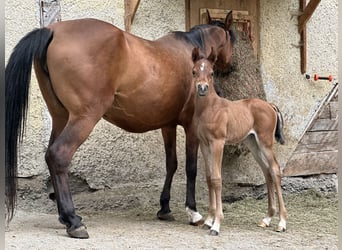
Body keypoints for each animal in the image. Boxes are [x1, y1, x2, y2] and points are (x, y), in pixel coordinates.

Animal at [5, 13, 235, 238]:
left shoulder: (167, 125)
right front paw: (193, 212)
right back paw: (74, 221)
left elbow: (171, 164)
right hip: (84, 118)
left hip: (61, 117)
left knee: (50, 156)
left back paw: (65, 217)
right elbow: (191, 168)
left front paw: (164, 208)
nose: (231, 67)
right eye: (232, 39)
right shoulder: (190, 126)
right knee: (58, 155)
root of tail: (52, 30)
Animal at [191, 47, 288, 236]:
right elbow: (209, 178)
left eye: (212, 72)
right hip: (253, 143)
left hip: (265, 142)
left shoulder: (218, 143)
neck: (209, 108)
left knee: (275, 169)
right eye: (194, 71)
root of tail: (270, 105)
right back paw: (267, 218)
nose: (202, 88)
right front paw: (208, 221)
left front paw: (216, 225)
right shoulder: (204, 144)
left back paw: (282, 222)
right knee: (267, 171)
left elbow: (217, 179)